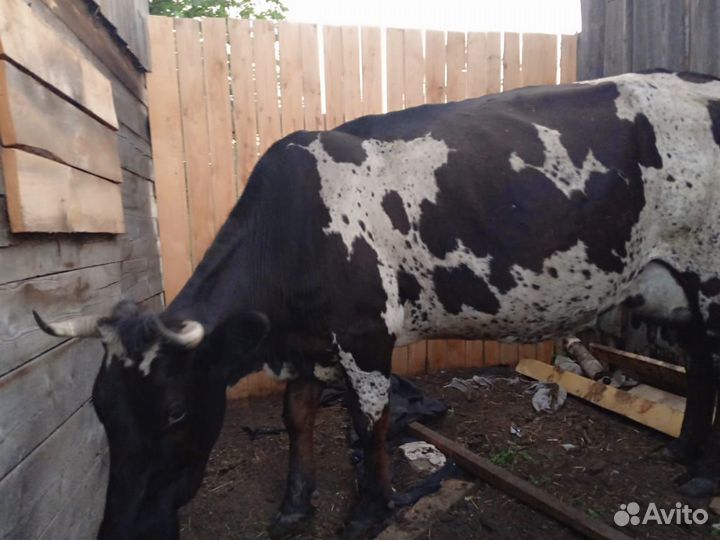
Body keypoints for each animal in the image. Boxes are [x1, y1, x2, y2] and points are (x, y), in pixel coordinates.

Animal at [35, 70, 720, 540]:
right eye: (100, 408)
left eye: (175, 411)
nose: (123, 530)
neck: (295, 225)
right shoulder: (307, 342)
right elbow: (297, 417)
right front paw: (295, 505)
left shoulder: (365, 334)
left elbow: (373, 420)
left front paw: (369, 509)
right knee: (701, 364)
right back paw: (683, 453)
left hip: (710, 273)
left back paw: (701, 473)